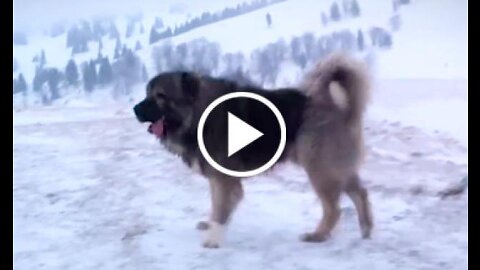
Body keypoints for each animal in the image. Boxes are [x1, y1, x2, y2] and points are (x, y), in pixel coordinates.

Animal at [133, 53, 374, 249]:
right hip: (336, 168)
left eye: (160, 96)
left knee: (334, 208)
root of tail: (336, 107)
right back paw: (366, 229)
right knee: (360, 193)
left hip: (320, 170)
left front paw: (214, 239)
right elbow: (216, 205)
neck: (199, 114)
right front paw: (210, 225)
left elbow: (221, 209)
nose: (135, 109)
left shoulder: (224, 180)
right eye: (147, 93)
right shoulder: (217, 178)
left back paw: (319, 235)